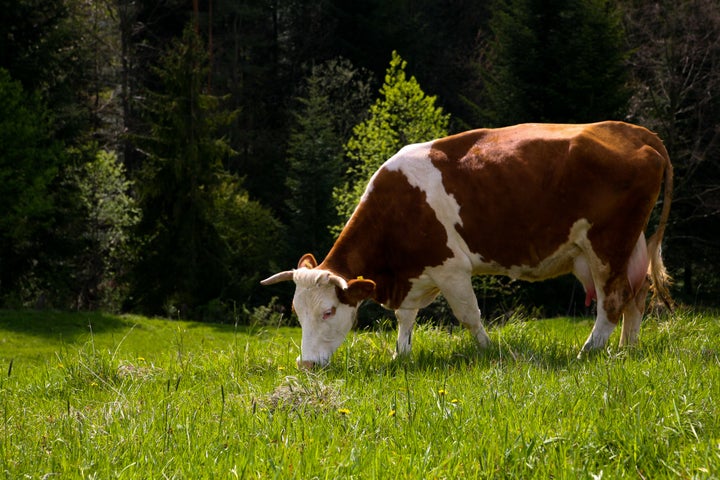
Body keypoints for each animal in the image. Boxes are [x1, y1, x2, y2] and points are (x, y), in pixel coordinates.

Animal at [262, 122, 672, 370]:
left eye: (329, 311)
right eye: (297, 312)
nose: (305, 365)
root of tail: (636, 133)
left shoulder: (451, 268)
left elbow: (469, 316)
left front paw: (491, 352)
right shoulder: (415, 275)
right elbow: (406, 319)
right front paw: (401, 355)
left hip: (608, 244)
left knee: (613, 300)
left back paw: (588, 351)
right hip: (629, 245)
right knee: (637, 295)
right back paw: (627, 349)